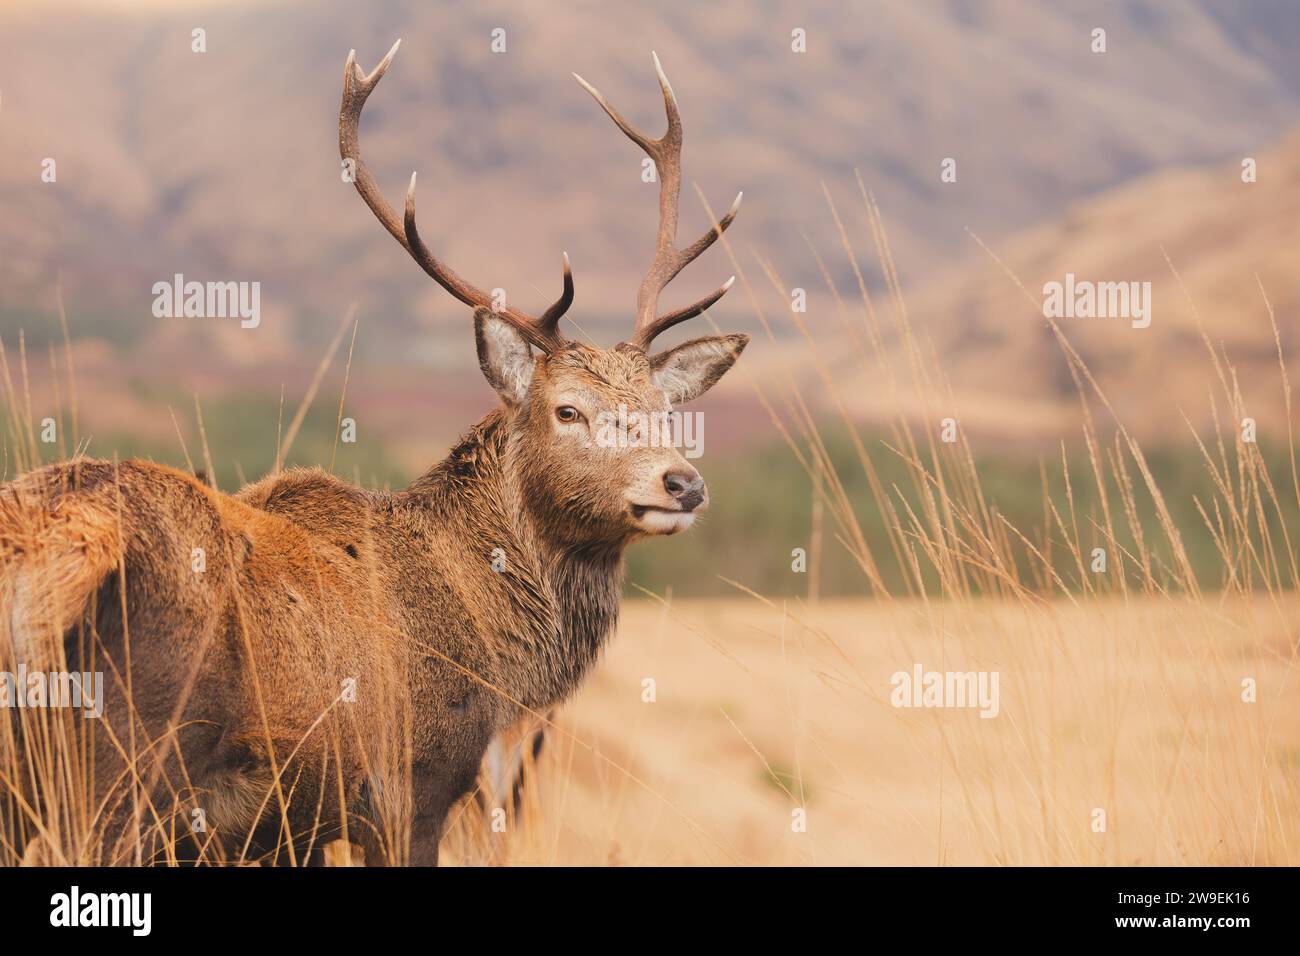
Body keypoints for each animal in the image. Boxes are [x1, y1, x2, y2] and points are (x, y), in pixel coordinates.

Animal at [0, 40, 747, 866]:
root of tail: (58, 548)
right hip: (119, 770)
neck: (491, 645)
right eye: (568, 410)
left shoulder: (289, 830)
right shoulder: (412, 785)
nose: (682, 483)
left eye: (667, 412)